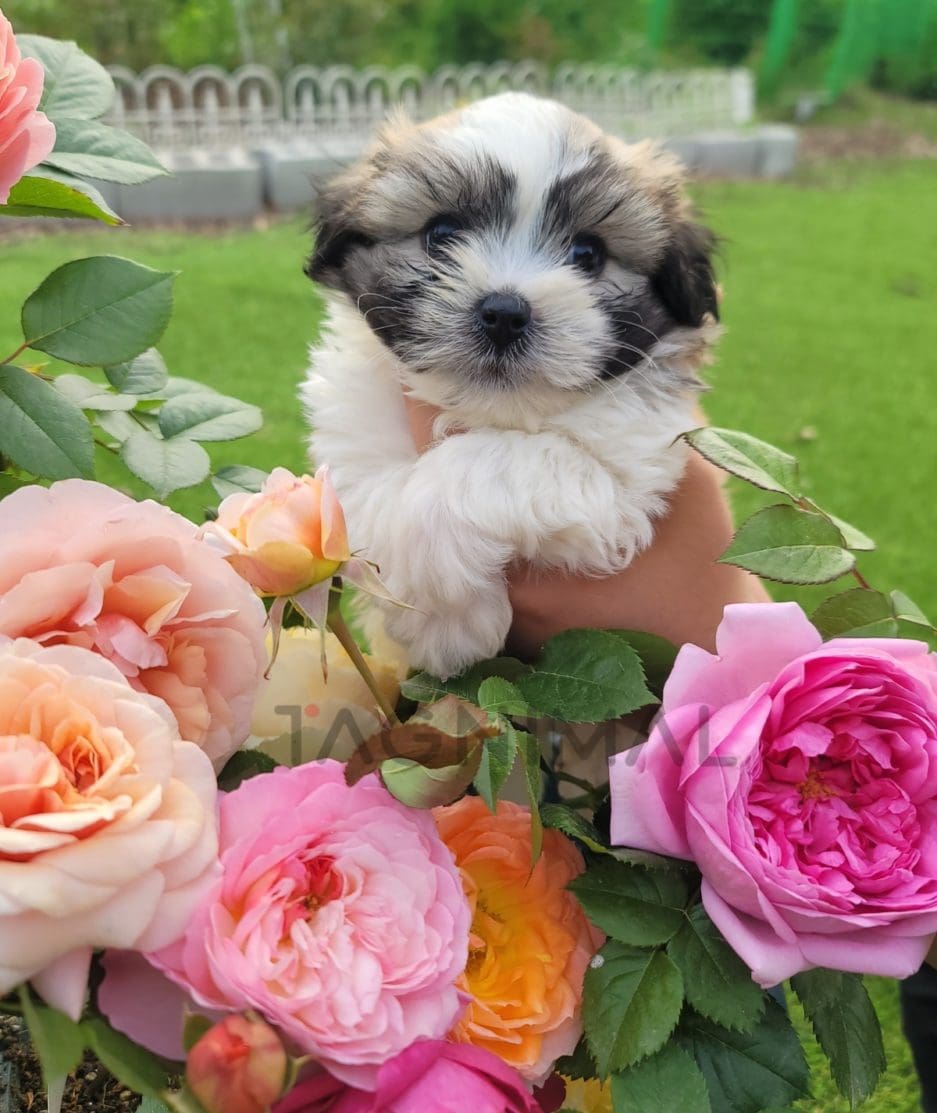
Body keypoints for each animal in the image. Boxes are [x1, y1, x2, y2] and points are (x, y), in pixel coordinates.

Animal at [300, 91, 716, 676]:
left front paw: (444, 606)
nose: (504, 313)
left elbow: (493, 460)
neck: (490, 410)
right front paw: (438, 618)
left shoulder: (635, 458)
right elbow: (371, 496)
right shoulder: (356, 420)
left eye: (587, 254)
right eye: (442, 234)